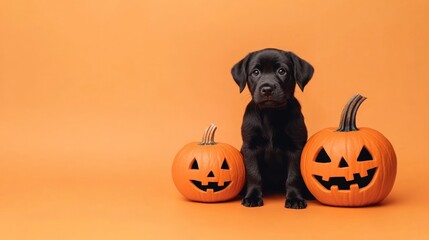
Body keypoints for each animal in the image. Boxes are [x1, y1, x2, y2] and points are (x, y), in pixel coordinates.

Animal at [232, 48, 312, 208]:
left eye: (282, 71)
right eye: (255, 72)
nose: (267, 89)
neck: (271, 114)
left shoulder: (296, 148)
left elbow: (293, 176)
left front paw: (295, 198)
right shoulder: (250, 148)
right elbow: (253, 174)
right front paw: (252, 196)